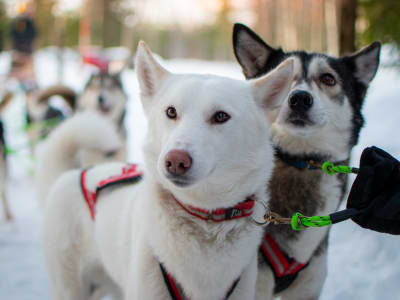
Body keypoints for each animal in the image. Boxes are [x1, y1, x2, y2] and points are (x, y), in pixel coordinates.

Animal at [43, 41, 294, 300]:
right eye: (171, 112)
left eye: (221, 116)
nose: (175, 160)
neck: (204, 216)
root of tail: (77, 172)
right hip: (71, 289)